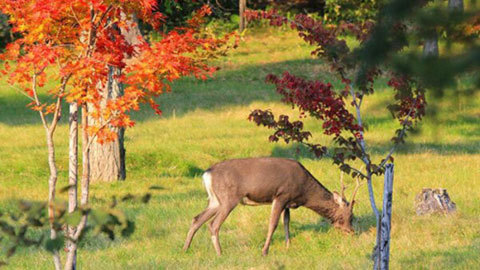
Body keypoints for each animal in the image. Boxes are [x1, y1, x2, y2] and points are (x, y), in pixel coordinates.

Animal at [184, 156, 360, 255]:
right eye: (348, 216)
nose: (351, 232)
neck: (304, 192)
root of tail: (207, 174)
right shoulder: (281, 195)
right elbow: (273, 224)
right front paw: (264, 251)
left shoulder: (288, 202)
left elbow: (286, 222)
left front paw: (288, 246)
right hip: (228, 199)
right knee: (213, 224)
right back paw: (220, 253)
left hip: (215, 200)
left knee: (196, 219)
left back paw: (185, 249)